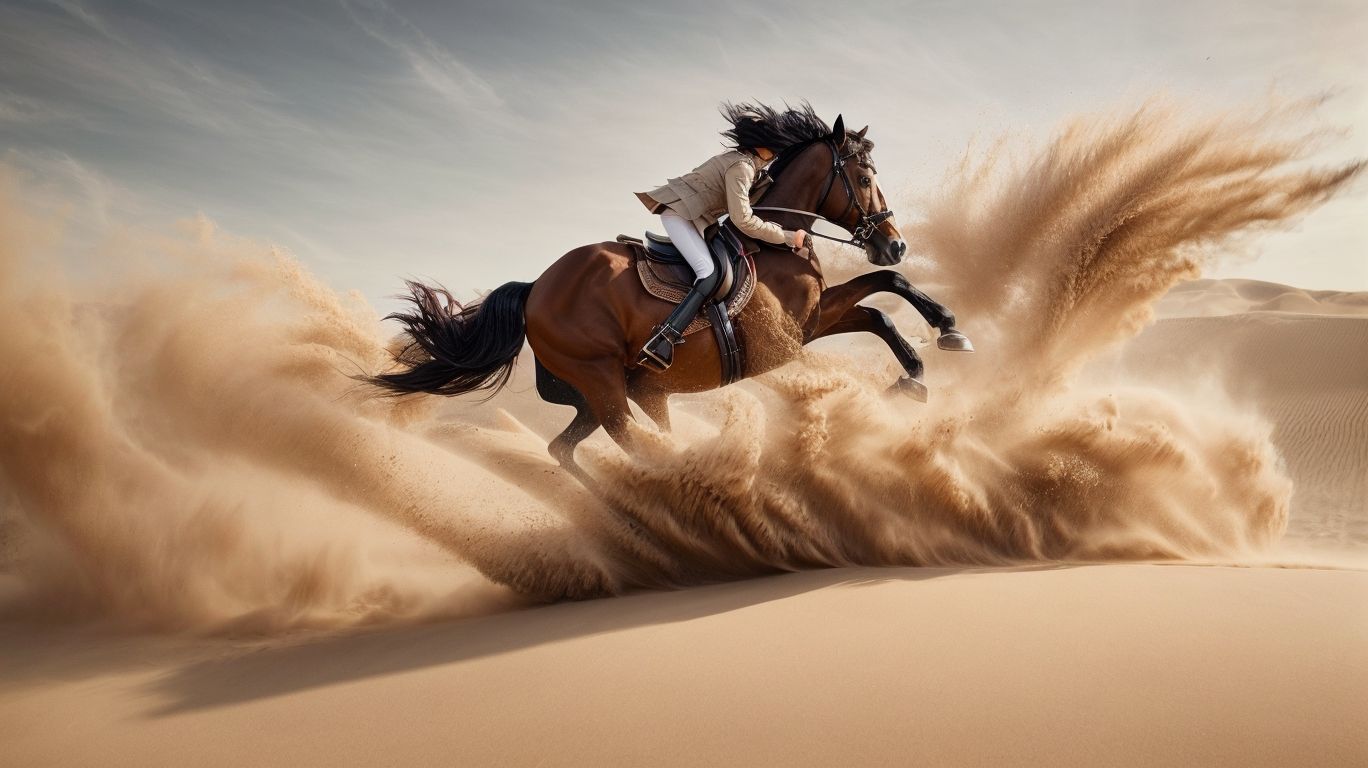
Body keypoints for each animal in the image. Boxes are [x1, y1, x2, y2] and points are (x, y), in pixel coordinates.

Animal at [368, 114, 970, 475]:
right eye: (865, 177)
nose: (895, 243)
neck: (772, 239)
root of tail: (536, 288)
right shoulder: (792, 337)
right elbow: (879, 298)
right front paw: (940, 338)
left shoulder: (817, 316)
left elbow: (880, 302)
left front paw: (925, 363)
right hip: (600, 379)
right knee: (632, 439)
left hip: (614, 390)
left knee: (569, 447)